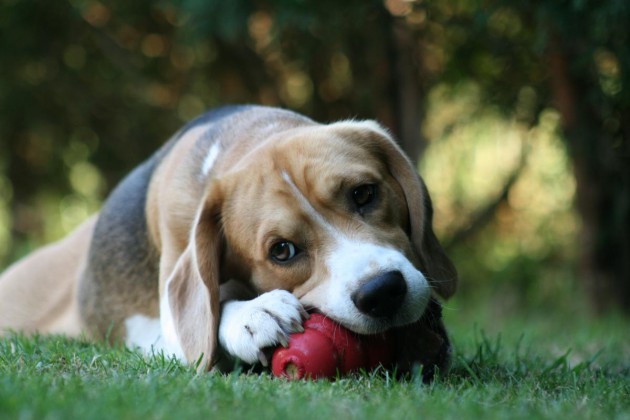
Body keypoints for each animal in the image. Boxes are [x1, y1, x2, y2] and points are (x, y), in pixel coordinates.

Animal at [0, 105, 456, 378]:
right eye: (282, 251)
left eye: (363, 194)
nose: (382, 292)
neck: (248, 138)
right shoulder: (170, 324)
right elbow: (209, 319)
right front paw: (253, 316)